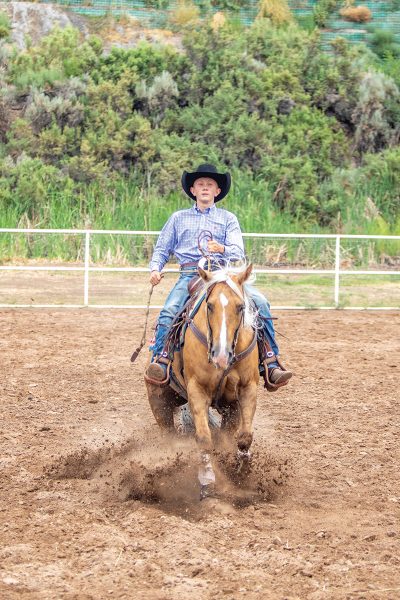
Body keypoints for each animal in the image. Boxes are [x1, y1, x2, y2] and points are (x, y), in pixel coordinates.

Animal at [145, 262, 258, 496]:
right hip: (159, 401)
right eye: (210, 306)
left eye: (240, 307)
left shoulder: (247, 388)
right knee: (169, 435)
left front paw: (242, 474)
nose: (221, 355)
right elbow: (204, 438)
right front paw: (207, 480)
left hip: (230, 409)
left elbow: (244, 436)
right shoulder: (197, 389)